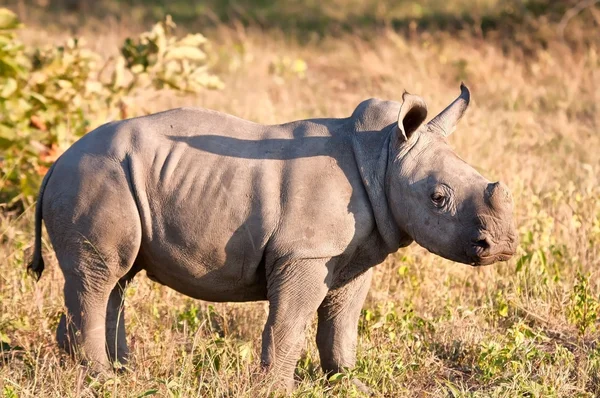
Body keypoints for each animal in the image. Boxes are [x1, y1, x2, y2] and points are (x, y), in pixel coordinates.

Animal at [28, 83, 516, 388]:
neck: (383, 156)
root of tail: (57, 161)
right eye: (438, 198)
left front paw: (349, 381)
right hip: (95, 176)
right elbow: (290, 323)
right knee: (102, 275)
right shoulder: (305, 253)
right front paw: (279, 387)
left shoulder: (356, 255)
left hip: (108, 178)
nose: (504, 246)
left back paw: (119, 372)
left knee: (114, 276)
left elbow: (342, 324)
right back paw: (100, 378)